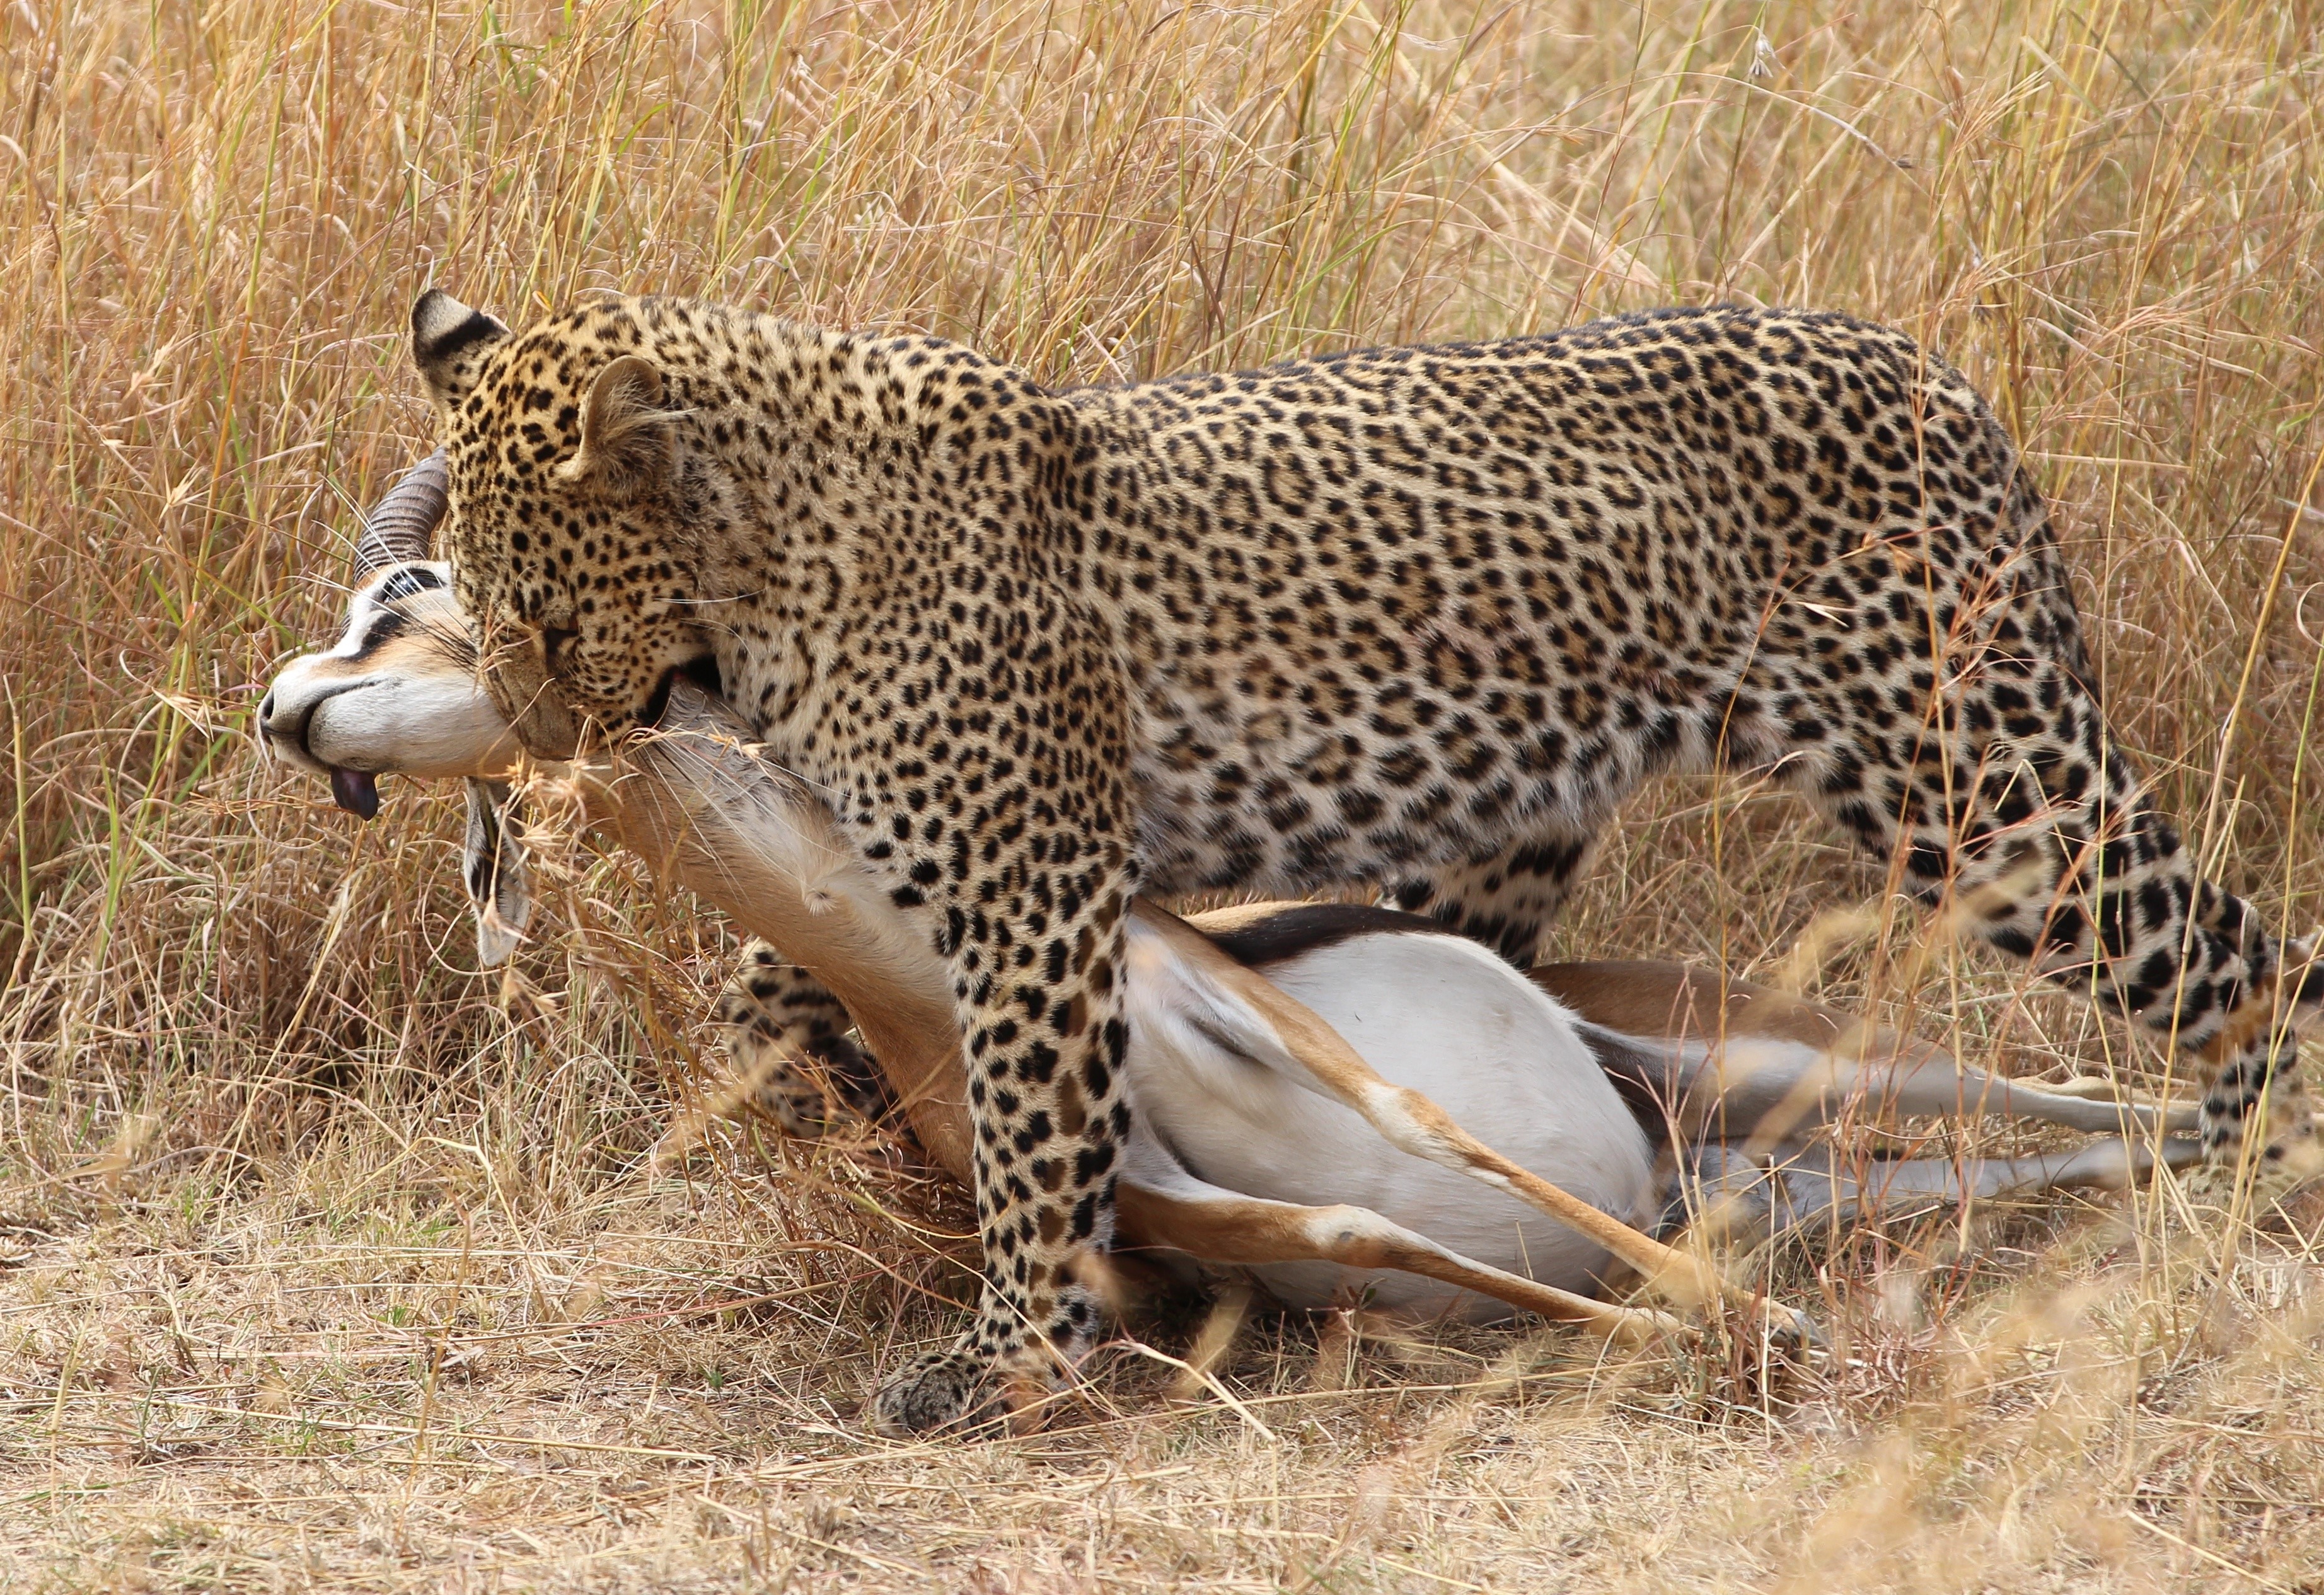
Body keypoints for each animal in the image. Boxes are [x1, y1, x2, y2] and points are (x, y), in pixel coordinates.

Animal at [408, 288, 2320, 1433]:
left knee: (2246, 967)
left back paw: (2249, 1180)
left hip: (1990, 795)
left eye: (543, 614)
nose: (536, 737)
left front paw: (1010, 1354)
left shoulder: (1033, 896)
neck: (767, 568)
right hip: (1523, 841)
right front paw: (766, 1118)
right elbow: (779, 987)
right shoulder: (919, 861)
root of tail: (1928, 371)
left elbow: (1034, 1135)